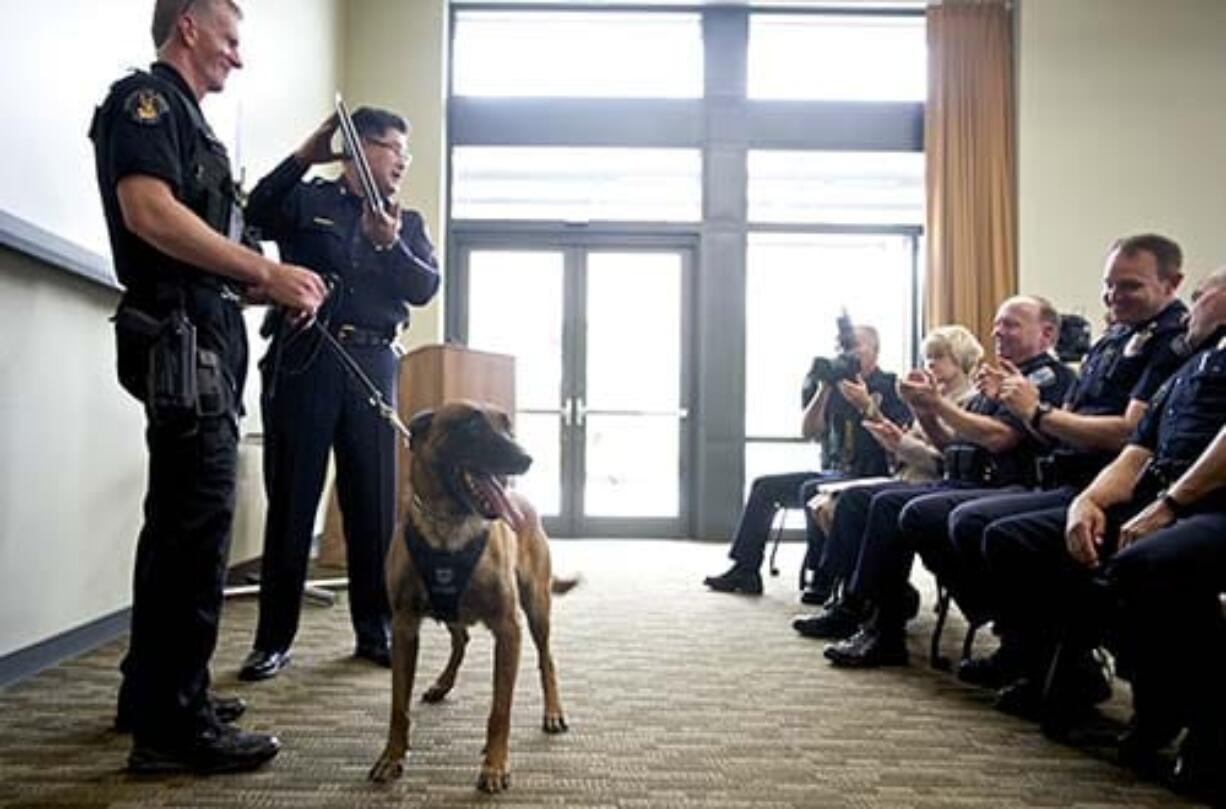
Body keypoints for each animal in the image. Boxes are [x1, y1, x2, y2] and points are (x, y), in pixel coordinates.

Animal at [367, 402, 573, 794]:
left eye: (508, 427)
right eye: (471, 426)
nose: (526, 458)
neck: (449, 525)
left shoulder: (509, 630)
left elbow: (500, 710)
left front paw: (494, 766)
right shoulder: (404, 627)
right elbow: (398, 706)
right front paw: (392, 756)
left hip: (537, 607)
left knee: (547, 658)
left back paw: (553, 711)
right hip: (451, 612)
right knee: (461, 639)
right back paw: (442, 683)